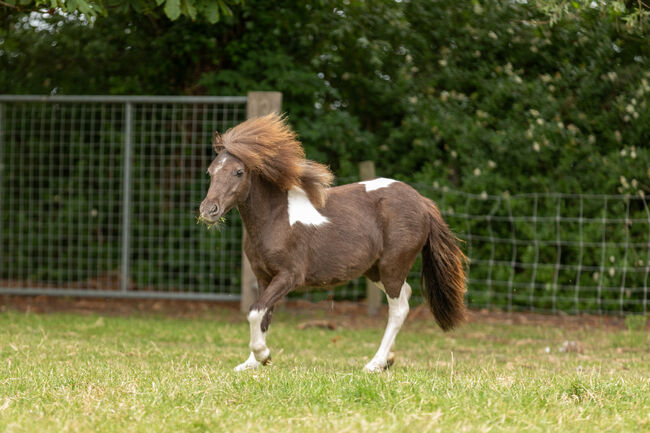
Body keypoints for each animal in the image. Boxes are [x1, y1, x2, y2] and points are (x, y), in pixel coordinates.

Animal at [199, 113, 467, 372]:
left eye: (238, 172)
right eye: (211, 171)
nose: (208, 210)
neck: (275, 219)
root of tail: (423, 202)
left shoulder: (289, 275)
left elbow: (255, 311)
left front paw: (263, 355)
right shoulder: (264, 277)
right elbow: (264, 314)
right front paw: (251, 363)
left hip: (393, 265)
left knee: (399, 308)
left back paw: (374, 364)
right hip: (374, 270)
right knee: (406, 294)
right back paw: (388, 360)